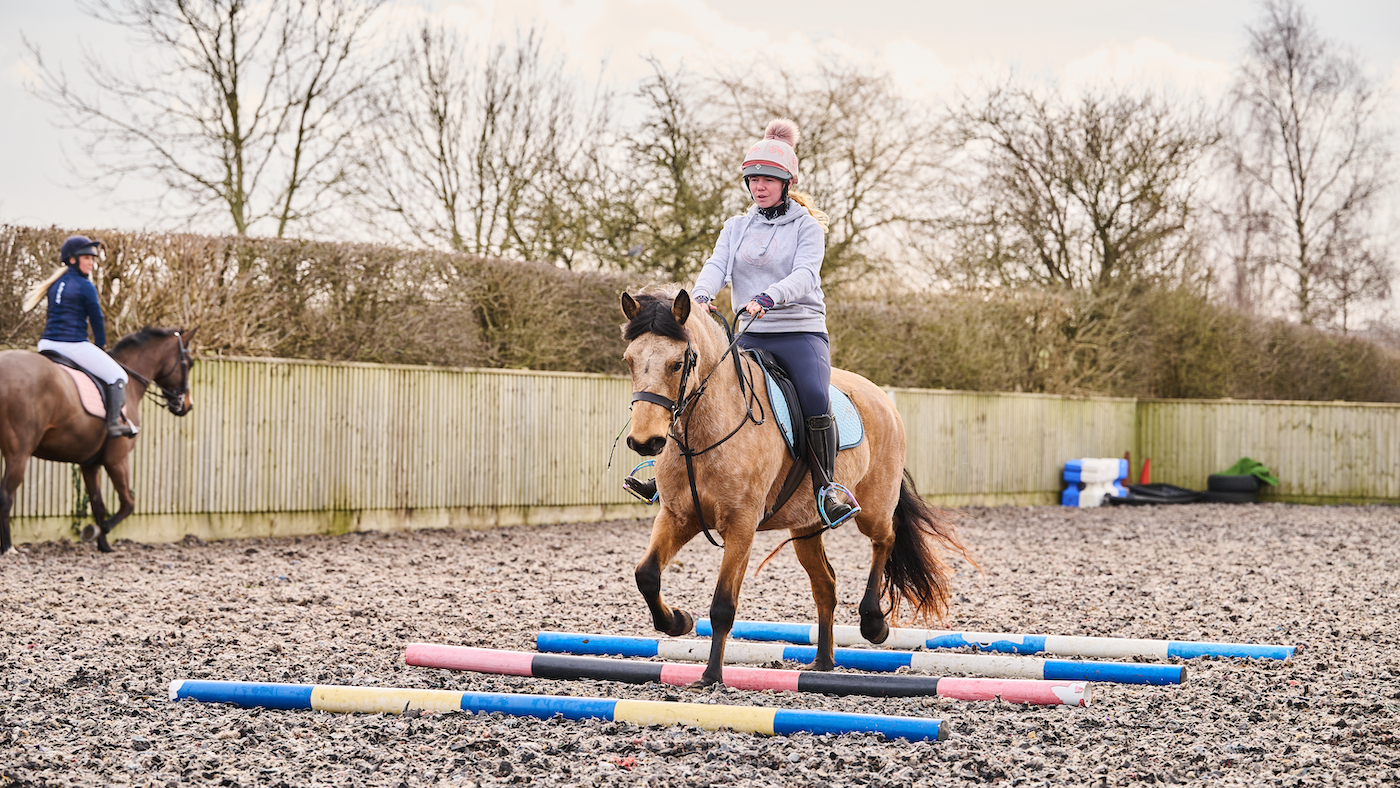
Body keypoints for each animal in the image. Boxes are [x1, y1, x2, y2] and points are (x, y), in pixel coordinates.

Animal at [0, 327, 195, 554]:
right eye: (189, 363)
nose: (188, 405)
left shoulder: (90, 464)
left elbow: (98, 504)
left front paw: (104, 545)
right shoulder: (117, 460)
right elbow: (128, 503)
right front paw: (98, 530)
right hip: (19, 454)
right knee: (6, 495)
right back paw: (8, 547)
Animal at [621, 289, 973, 687]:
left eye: (677, 364)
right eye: (629, 360)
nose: (645, 442)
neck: (705, 432)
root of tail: (881, 397)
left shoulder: (741, 526)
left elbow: (723, 605)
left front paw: (711, 676)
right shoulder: (678, 517)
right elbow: (647, 575)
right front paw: (677, 621)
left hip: (873, 509)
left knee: (886, 538)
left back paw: (872, 623)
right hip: (805, 528)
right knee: (826, 585)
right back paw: (822, 663)